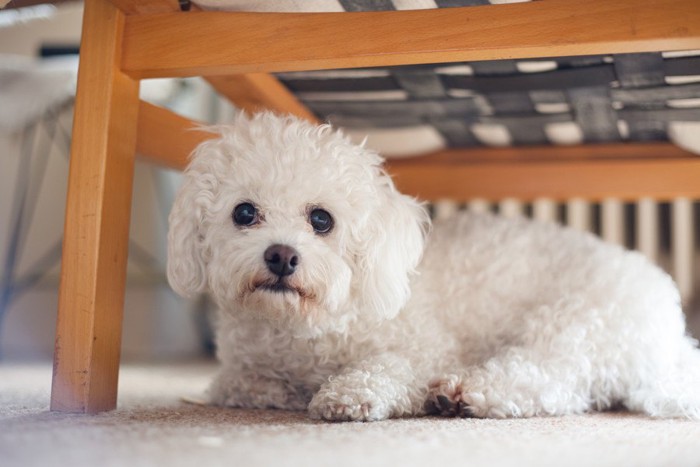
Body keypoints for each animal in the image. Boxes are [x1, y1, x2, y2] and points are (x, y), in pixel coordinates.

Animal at [168, 113, 700, 424]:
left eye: (321, 219)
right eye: (243, 213)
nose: (281, 255)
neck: (302, 329)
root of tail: (673, 334)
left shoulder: (424, 348)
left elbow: (388, 367)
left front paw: (350, 393)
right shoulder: (239, 371)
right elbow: (234, 385)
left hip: (575, 324)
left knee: (551, 381)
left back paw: (463, 393)